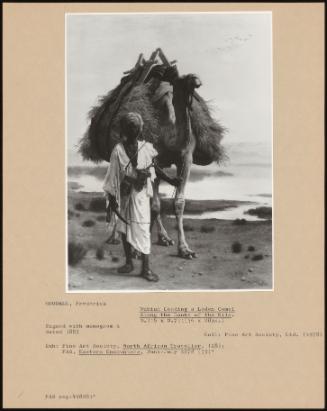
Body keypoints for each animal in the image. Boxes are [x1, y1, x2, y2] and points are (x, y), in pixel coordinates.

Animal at [80, 49, 227, 260]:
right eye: (183, 77)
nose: (197, 80)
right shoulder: (149, 158)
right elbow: (148, 200)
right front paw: (137, 247)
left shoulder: (185, 157)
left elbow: (177, 202)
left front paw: (184, 248)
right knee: (119, 191)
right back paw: (115, 236)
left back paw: (163, 238)